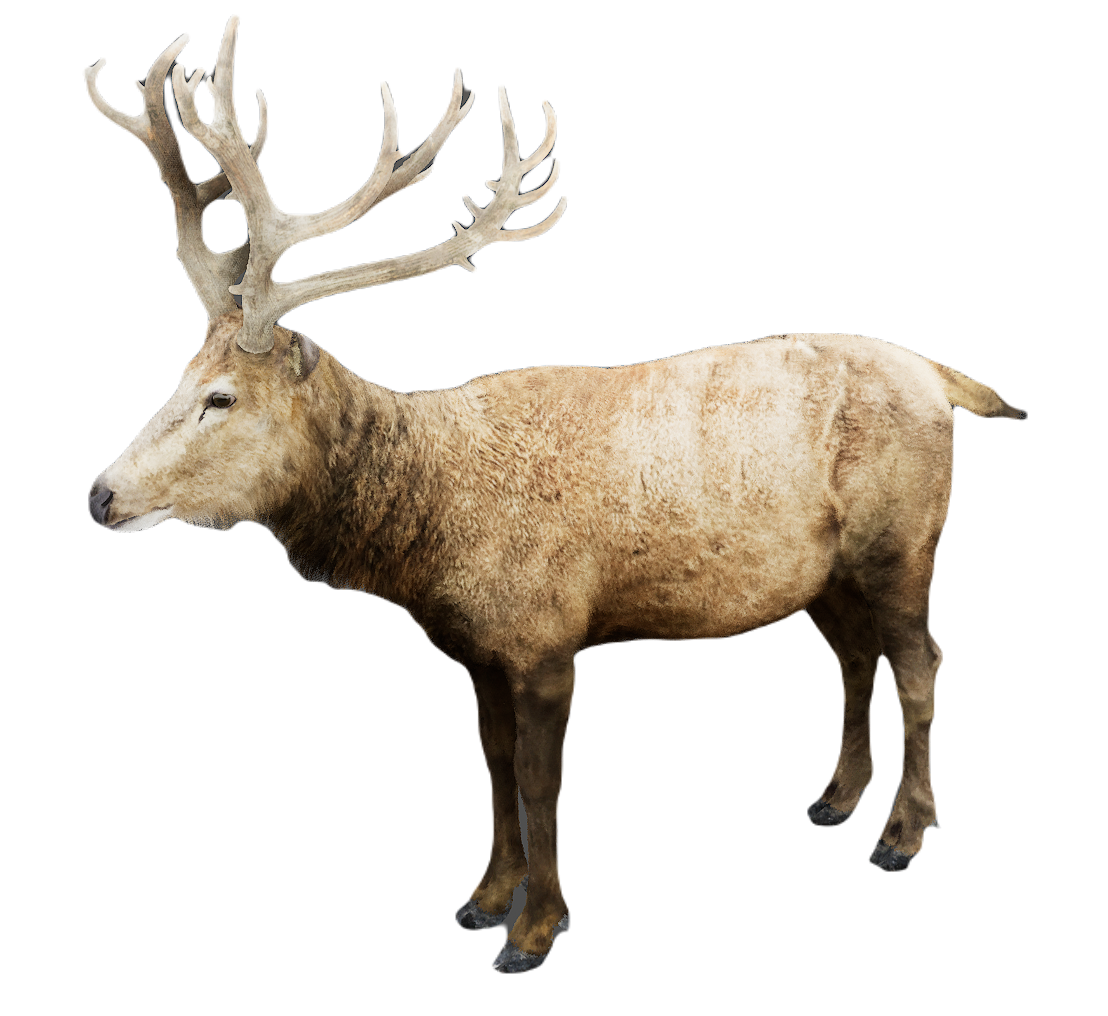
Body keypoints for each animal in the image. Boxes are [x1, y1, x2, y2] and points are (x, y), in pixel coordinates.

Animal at [85, 15, 1025, 975]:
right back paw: (837, 797)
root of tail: (939, 377)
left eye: (221, 397)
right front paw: (483, 900)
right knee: (855, 654)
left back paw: (903, 833)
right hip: (822, 573)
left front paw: (536, 930)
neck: (432, 538)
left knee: (921, 659)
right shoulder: (476, 649)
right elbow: (496, 768)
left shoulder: (549, 635)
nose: (101, 495)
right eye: (179, 375)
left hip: (905, 538)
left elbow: (542, 784)